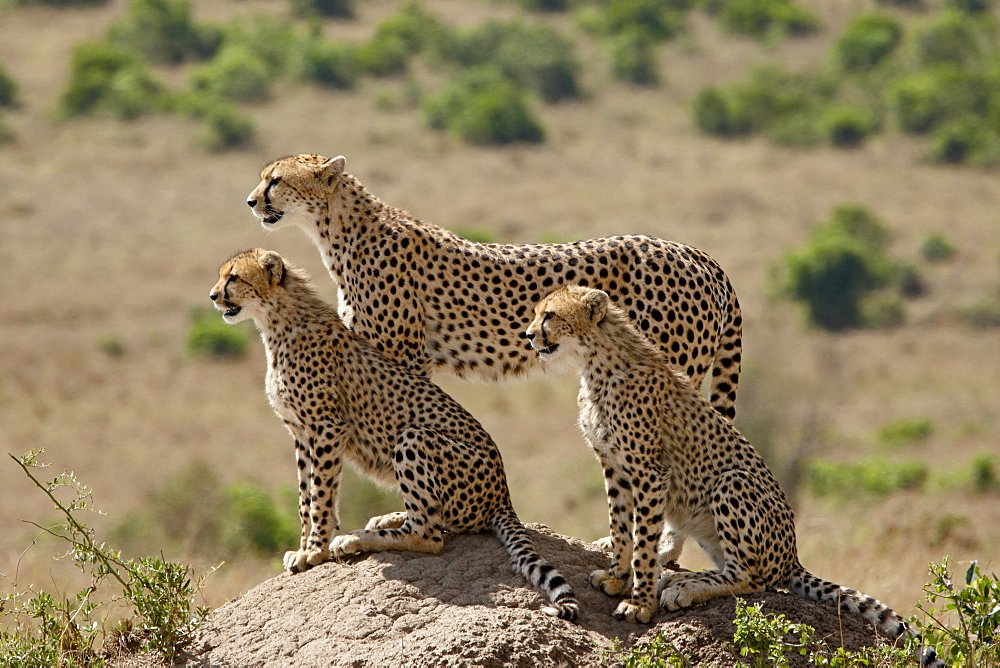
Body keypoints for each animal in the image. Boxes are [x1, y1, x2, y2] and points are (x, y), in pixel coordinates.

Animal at [213, 248, 580, 620]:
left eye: (234, 278)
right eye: (223, 276)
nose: (214, 296)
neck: (276, 321)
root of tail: (503, 495)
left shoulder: (327, 428)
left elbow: (321, 495)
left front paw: (315, 550)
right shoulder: (301, 434)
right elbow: (306, 497)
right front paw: (303, 547)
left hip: (414, 438)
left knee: (429, 534)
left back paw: (356, 539)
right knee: (434, 518)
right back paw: (383, 520)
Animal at [244, 154, 744, 420]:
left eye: (276, 180)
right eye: (263, 177)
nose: (250, 201)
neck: (341, 232)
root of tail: (699, 254)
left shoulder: (405, 354)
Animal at [528, 284, 940, 664]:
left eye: (549, 315)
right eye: (537, 313)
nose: (531, 335)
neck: (596, 363)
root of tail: (792, 558)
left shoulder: (650, 470)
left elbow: (643, 542)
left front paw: (639, 603)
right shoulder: (613, 466)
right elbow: (619, 526)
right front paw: (616, 577)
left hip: (733, 482)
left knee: (751, 579)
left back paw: (682, 585)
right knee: (735, 569)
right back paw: (679, 577)